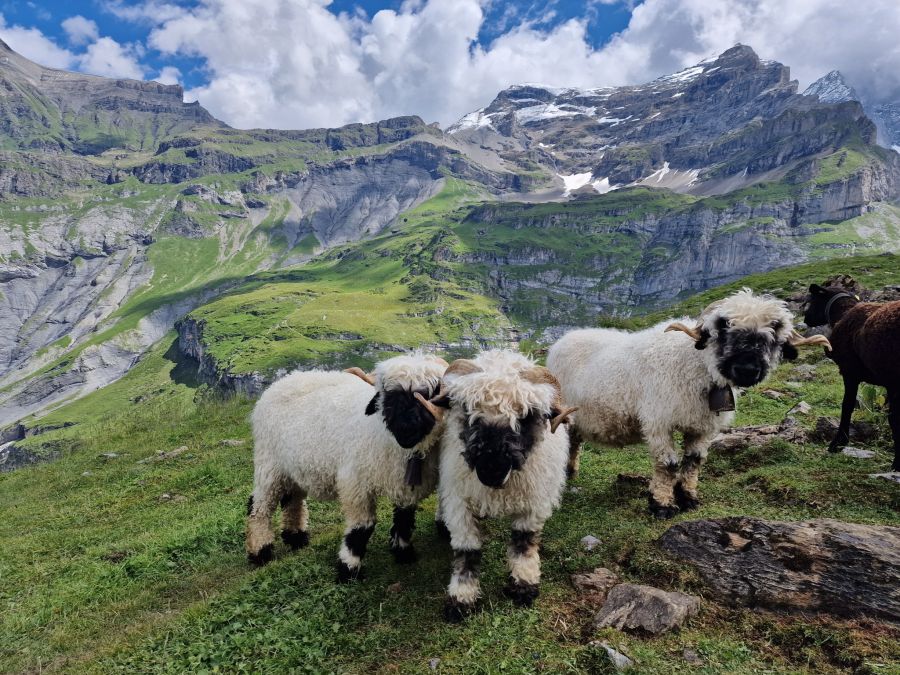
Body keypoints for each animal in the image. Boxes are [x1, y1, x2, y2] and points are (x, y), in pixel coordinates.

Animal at [245, 353, 448, 581]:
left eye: (430, 394)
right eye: (389, 397)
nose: (405, 429)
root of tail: (281, 382)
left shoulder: (404, 486)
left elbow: (404, 520)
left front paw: (403, 553)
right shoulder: (355, 483)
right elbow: (361, 528)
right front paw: (348, 569)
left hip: (294, 466)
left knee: (292, 500)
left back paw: (296, 537)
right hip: (269, 463)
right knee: (259, 507)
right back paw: (260, 551)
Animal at [431, 351, 577, 622]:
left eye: (526, 416)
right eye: (467, 409)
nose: (491, 470)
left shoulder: (534, 503)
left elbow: (524, 542)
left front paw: (524, 585)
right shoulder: (460, 500)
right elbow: (467, 549)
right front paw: (461, 598)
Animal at [547, 289, 831, 519]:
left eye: (775, 331)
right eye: (723, 326)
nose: (747, 369)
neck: (697, 365)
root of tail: (566, 337)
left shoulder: (703, 427)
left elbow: (694, 461)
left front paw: (688, 498)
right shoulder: (659, 422)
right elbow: (668, 464)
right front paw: (662, 505)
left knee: (574, 443)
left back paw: (571, 471)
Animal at [804, 283, 900, 470]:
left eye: (813, 300)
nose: (805, 319)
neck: (843, 313)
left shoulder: (850, 372)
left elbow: (847, 405)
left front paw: (838, 442)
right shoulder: (889, 384)